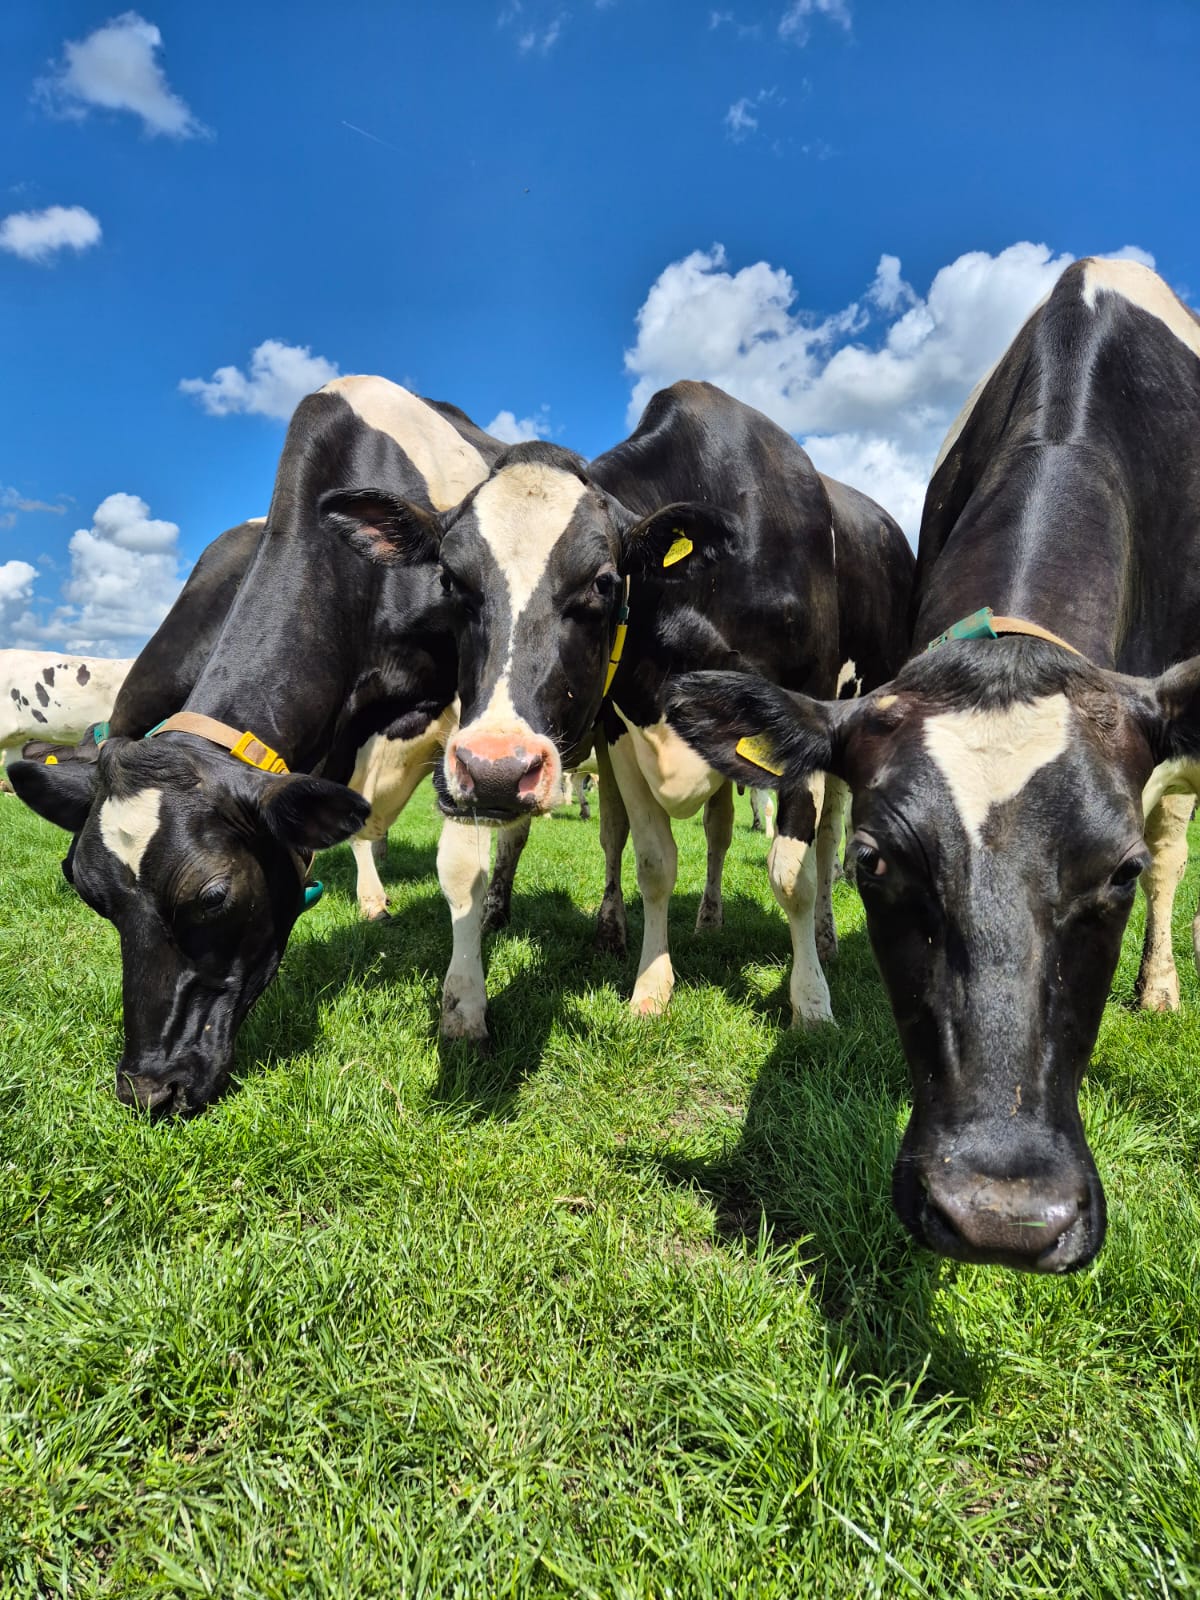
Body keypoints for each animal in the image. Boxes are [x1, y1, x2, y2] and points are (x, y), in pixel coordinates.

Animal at [333, 380, 913, 1049]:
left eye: (605, 581)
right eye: (451, 581)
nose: (495, 770)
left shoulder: (799, 717)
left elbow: (791, 874)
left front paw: (811, 1004)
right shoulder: (623, 731)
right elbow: (653, 862)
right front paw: (651, 989)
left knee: (826, 843)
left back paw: (824, 937)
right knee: (706, 833)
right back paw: (702, 918)